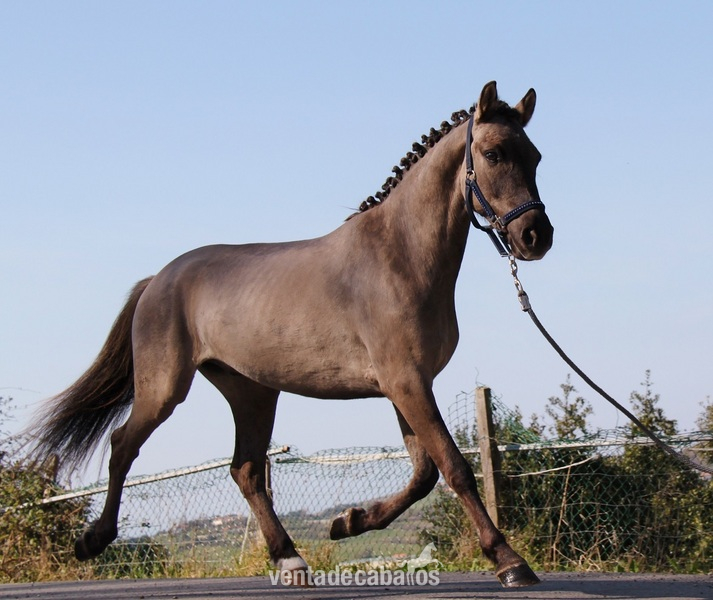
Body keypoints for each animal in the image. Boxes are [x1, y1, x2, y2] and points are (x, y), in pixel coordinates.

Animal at [31, 81, 553, 588]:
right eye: (494, 154)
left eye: (535, 156)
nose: (536, 236)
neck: (400, 255)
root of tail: (158, 279)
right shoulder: (405, 383)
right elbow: (454, 467)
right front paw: (509, 561)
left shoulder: (405, 386)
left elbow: (424, 473)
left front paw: (350, 521)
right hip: (164, 390)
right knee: (124, 445)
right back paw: (94, 539)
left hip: (252, 392)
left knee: (245, 470)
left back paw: (290, 560)